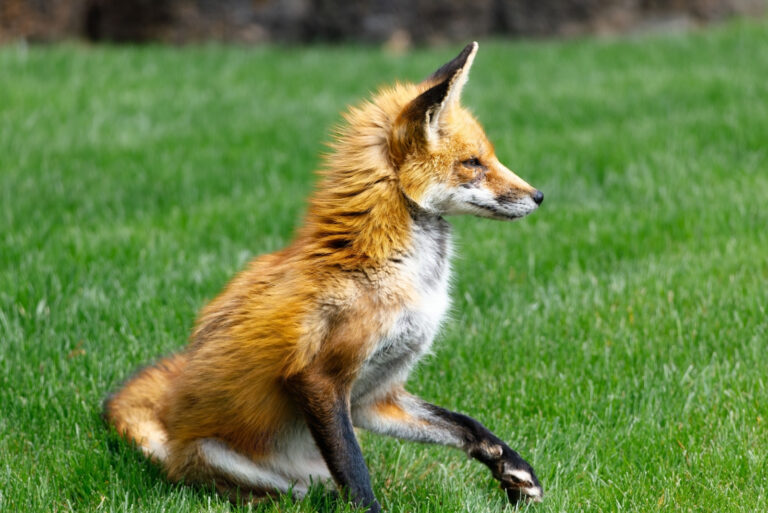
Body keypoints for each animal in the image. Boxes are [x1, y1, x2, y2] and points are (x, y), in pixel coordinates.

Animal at [104, 42, 544, 512]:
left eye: (488, 157)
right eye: (472, 163)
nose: (539, 196)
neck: (388, 264)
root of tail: (171, 442)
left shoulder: (373, 396)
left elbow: (463, 423)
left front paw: (511, 467)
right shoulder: (318, 378)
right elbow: (355, 471)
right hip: (252, 473)